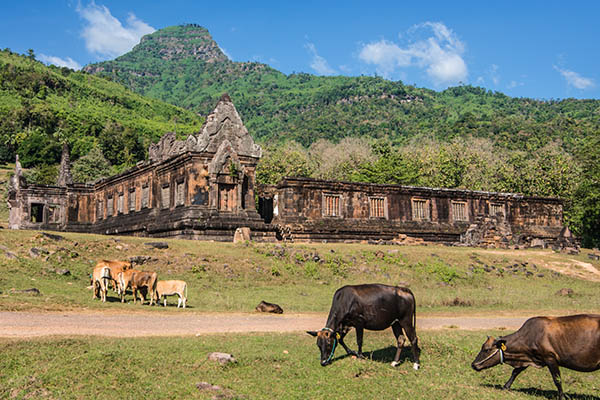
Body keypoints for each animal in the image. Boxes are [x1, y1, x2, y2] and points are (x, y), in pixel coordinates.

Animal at [472, 314, 600, 398]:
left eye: (487, 349)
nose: (473, 365)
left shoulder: (550, 358)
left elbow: (557, 379)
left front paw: (562, 396)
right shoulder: (527, 358)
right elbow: (515, 372)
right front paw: (505, 386)